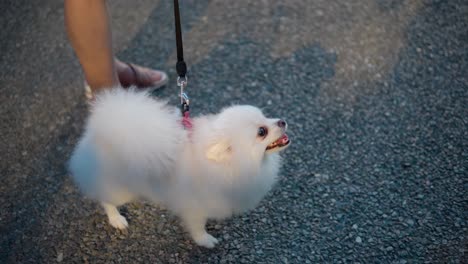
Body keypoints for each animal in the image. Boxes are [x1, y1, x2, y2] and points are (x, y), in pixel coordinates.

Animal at [69, 87, 288, 249]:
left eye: (265, 116)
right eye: (262, 132)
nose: (283, 121)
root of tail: (99, 131)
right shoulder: (194, 207)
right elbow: (197, 227)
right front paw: (205, 240)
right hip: (119, 189)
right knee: (106, 200)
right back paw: (116, 219)